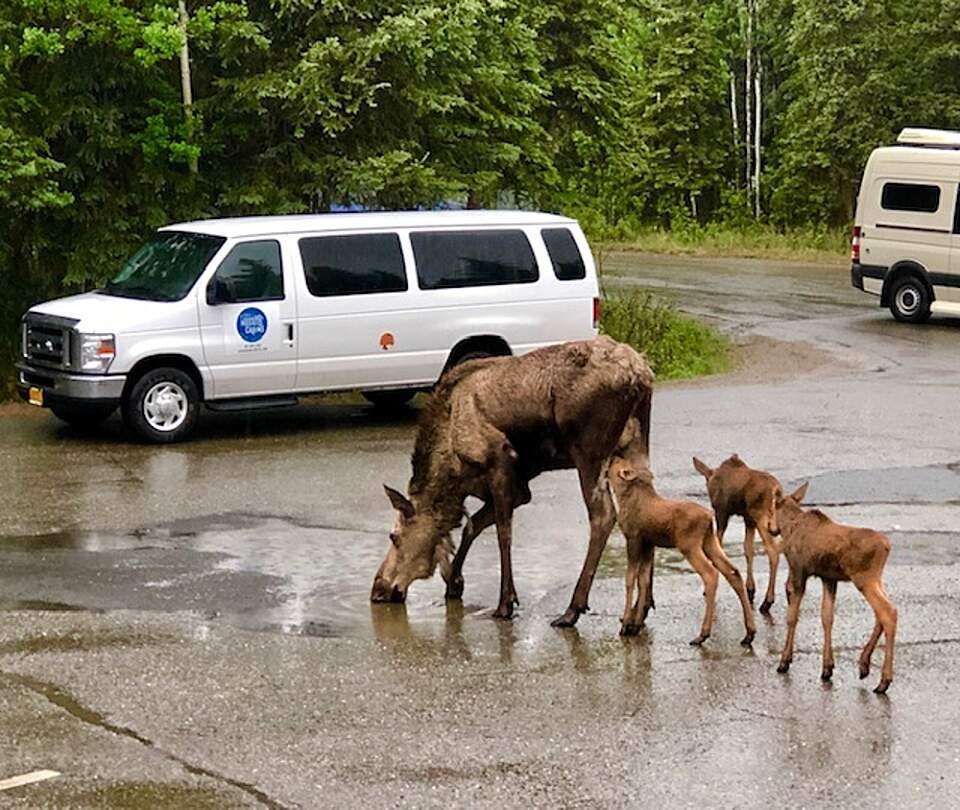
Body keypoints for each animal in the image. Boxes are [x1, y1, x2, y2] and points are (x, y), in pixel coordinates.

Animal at [370, 336, 652, 624]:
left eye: (394, 536)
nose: (377, 588)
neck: (453, 473)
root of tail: (640, 374)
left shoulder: (501, 463)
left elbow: (502, 533)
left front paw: (505, 602)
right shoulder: (520, 489)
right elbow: (473, 526)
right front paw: (454, 581)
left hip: (589, 451)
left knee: (603, 516)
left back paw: (573, 609)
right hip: (635, 442)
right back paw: (639, 611)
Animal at [608, 460, 756, 644]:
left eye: (617, 464)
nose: (610, 460)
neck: (623, 498)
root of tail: (709, 517)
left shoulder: (633, 538)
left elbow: (630, 580)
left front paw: (625, 624)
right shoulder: (648, 543)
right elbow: (643, 580)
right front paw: (635, 625)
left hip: (689, 544)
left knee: (710, 573)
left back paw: (703, 634)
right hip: (709, 541)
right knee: (733, 571)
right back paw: (749, 632)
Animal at [692, 454, 784, 612]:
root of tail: (776, 490)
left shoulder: (722, 512)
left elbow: (719, 545)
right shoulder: (748, 519)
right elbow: (748, 549)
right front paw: (750, 589)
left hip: (762, 517)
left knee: (773, 551)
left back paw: (767, 601)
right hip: (770, 520)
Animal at [776, 482, 896, 692]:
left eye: (772, 507)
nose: (771, 528)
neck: (788, 527)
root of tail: (887, 546)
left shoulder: (799, 572)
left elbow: (792, 617)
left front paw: (785, 660)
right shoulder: (829, 578)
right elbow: (827, 617)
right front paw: (827, 667)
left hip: (864, 579)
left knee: (888, 612)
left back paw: (884, 681)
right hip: (875, 579)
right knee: (881, 614)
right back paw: (864, 664)